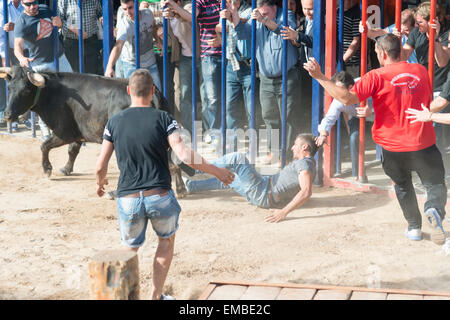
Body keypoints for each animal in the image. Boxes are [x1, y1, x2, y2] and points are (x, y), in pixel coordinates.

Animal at [0, 66, 192, 198]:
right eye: (9, 87)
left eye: (26, 90)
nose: (7, 115)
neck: (53, 92)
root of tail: (153, 93)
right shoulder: (77, 133)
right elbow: (72, 150)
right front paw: (66, 169)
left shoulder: (64, 132)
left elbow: (44, 146)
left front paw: (47, 169)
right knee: (172, 162)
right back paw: (181, 189)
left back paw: (114, 193)